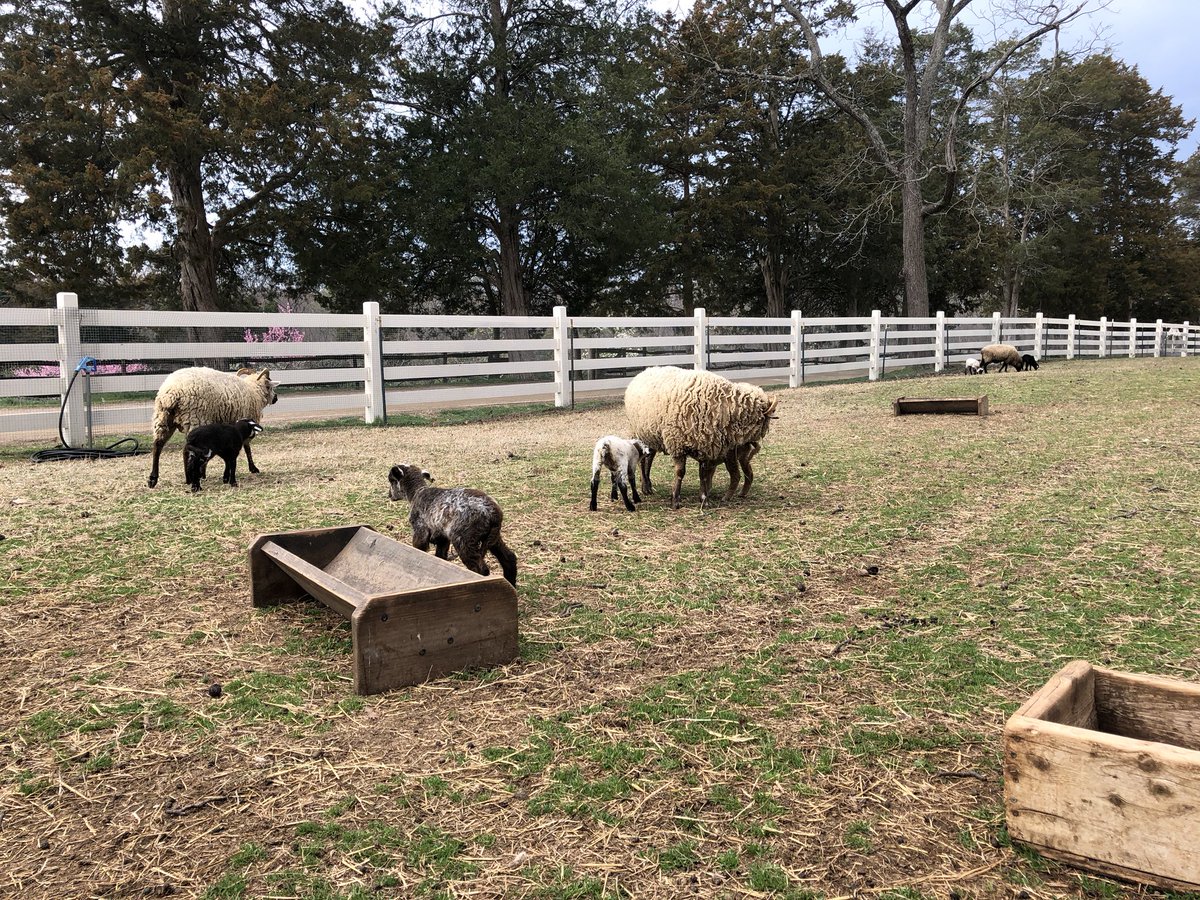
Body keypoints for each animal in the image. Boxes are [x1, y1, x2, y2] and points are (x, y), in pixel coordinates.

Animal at [148, 366, 278, 488]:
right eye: (270, 386)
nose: (276, 398)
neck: (254, 391)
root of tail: (171, 393)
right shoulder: (244, 423)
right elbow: (247, 448)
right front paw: (253, 468)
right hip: (195, 419)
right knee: (188, 451)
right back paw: (194, 477)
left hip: (163, 418)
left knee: (158, 446)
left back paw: (154, 479)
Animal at [387, 464, 517, 587]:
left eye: (391, 481)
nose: (389, 495)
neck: (417, 492)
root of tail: (493, 513)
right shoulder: (442, 537)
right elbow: (440, 556)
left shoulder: (420, 531)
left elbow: (420, 550)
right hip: (493, 537)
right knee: (509, 558)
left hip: (464, 539)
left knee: (480, 569)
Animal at [624, 366, 778, 509]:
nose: (754, 444)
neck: (724, 408)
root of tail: (645, 371)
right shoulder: (677, 444)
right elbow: (680, 472)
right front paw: (675, 500)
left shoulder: (705, 445)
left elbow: (703, 474)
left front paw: (704, 500)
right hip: (639, 433)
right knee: (643, 460)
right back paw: (645, 487)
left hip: (652, 435)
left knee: (649, 458)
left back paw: (648, 486)